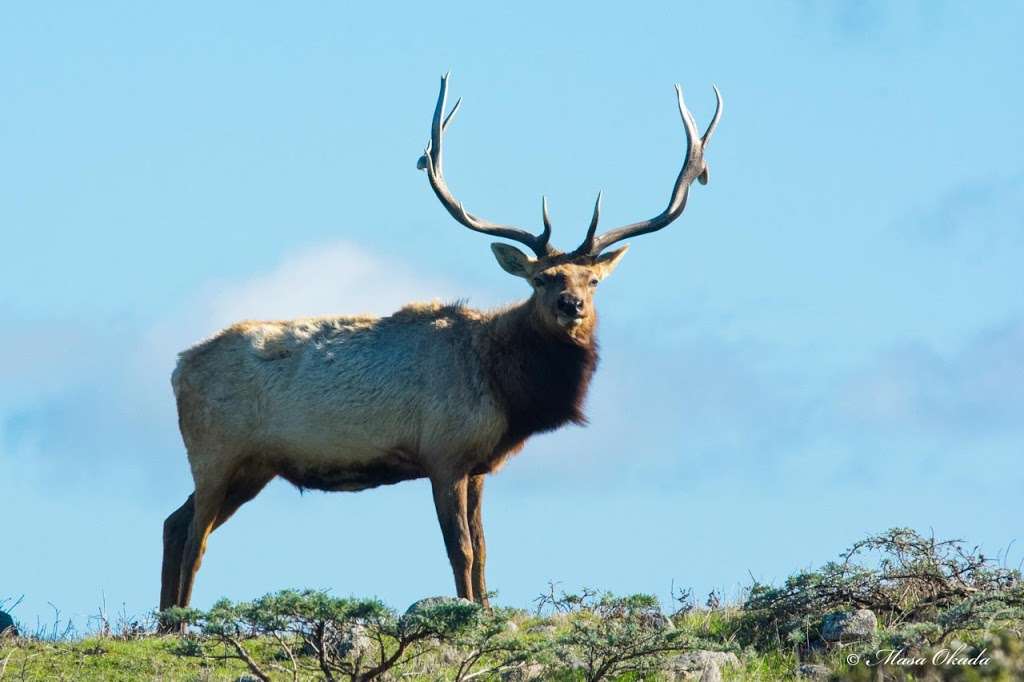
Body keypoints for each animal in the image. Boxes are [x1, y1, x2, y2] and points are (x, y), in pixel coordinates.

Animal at [159, 74, 720, 610]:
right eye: (541, 280)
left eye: (593, 281)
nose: (572, 306)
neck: (505, 388)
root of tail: (178, 368)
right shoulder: (443, 452)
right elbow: (461, 549)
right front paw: (466, 611)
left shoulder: (479, 466)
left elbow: (485, 549)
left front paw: (486, 610)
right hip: (215, 453)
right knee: (194, 537)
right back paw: (182, 622)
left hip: (252, 467)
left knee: (174, 522)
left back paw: (166, 620)